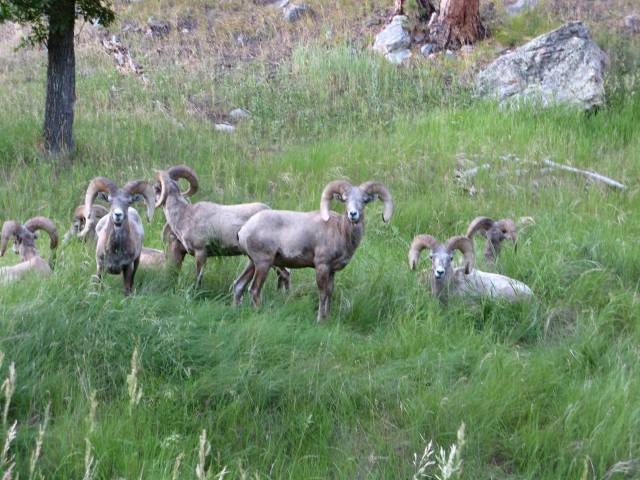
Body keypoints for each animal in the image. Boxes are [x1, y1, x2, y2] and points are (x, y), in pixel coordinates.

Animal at [238, 180, 392, 322]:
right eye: (345, 199)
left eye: (364, 200)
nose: (353, 214)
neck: (340, 231)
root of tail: (244, 229)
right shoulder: (322, 266)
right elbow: (322, 293)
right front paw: (320, 319)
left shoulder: (331, 271)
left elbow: (329, 292)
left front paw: (327, 317)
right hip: (263, 264)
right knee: (254, 290)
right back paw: (259, 312)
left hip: (252, 264)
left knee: (239, 285)